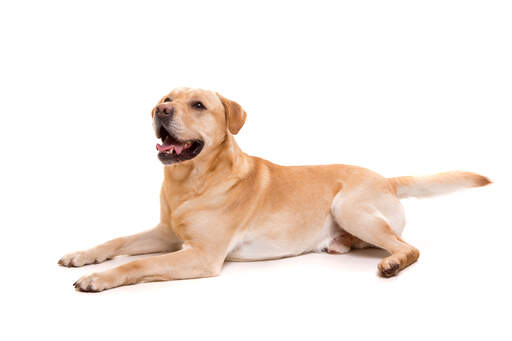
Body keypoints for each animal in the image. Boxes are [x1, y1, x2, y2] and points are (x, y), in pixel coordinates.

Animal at [60, 87, 492, 290]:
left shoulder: (201, 255)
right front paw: (82, 256)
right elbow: (116, 241)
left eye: (198, 105)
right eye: (166, 98)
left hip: (349, 206)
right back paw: (343, 244)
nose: (161, 110)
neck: (191, 182)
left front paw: (99, 278)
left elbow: (137, 264)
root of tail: (386, 177)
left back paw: (392, 263)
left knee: (408, 246)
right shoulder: (165, 233)